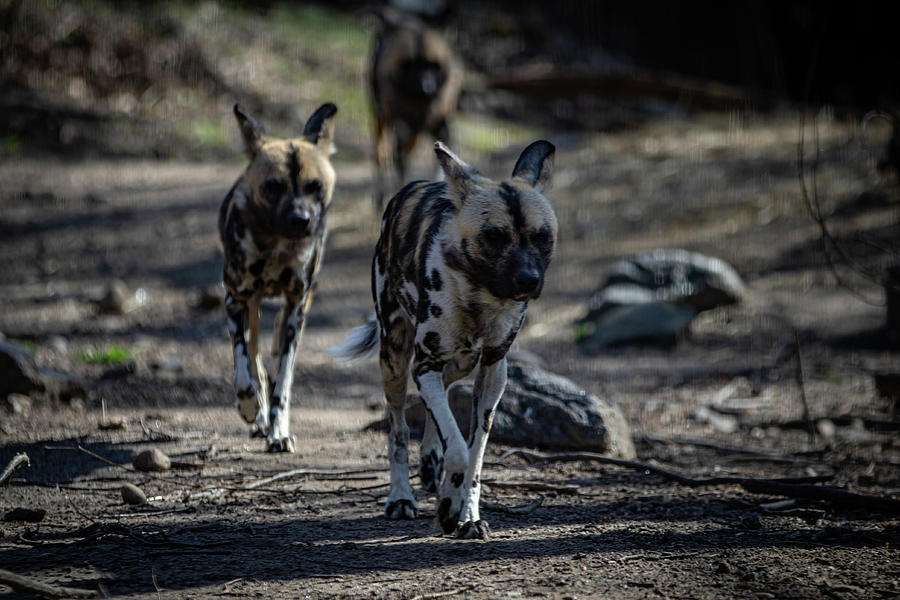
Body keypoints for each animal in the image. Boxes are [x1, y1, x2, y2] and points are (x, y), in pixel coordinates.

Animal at [221, 102, 338, 450]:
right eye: (273, 187)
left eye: (316, 187)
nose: (301, 219)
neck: (277, 248)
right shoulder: (235, 300)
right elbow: (244, 370)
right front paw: (249, 407)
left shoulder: (296, 309)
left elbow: (283, 380)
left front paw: (278, 431)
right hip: (252, 307)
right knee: (254, 361)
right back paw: (257, 415)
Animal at [330, 141, 556, 540]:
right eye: (494, 236)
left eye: (542, 237)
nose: (529, 280)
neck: (480, 296)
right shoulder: (425, 364)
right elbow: (459, 451)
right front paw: (449, 508)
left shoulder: (492, 371)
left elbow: (474, 454)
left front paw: (467, 514)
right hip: (395, 359)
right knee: (398, 429)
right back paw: (401, 498)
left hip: (459, 362)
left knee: (443, 400)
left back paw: (431, 464)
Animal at [370, 5, 464, 209]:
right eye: (409, 65)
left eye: (434, 65)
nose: (426, 88)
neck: (421, 105)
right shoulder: (399, 126)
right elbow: (399, 167)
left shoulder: (441, 128)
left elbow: (441, 167)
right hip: (383, 121)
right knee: (382, 156)